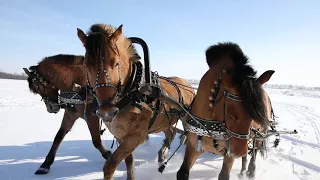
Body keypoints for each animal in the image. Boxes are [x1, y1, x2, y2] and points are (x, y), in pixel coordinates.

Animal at [76, 23, 195, 179]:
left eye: (116, 63)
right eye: (85, 65)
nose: (107, 112)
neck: (133, 89)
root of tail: (188, 85)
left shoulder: (136, 137)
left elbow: (110, 165)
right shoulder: (120, 136)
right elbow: (129, 161)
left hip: (187, 119)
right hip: (165, 121)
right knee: (171, 132)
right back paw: (162, 156)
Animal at [176, 42, 276, 180]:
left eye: (253, 117)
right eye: (231, 115)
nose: (238, 152)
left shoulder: (230, 151)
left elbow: (224, 174)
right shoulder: (193, 146)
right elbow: (182, 172)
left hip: (259, 133)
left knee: (255, 149)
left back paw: (251, 170)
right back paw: (243, 170)